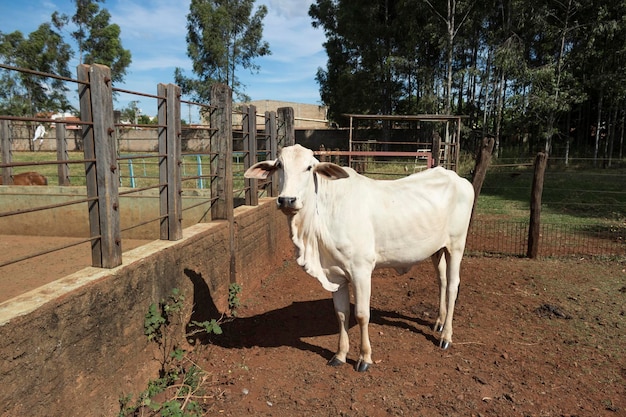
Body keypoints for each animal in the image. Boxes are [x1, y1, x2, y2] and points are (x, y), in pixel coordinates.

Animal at [244, 145, 472, 370]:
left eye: (309, 167)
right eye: (279, 165)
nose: (287, 200)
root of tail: (457, 178)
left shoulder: (361, 271)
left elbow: (362, 314)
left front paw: (364, 357)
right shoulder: (335, 274)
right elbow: (341, 313)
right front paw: (340, 354)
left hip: (456, 245)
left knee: (452, 286)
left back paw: (446, 336)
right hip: (437, 249)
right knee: (442, 281)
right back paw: (439, 322)